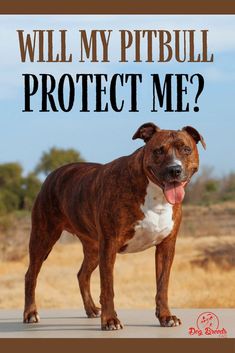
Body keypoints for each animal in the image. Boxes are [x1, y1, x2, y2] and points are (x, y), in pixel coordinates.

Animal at [23, 121, 205, 330]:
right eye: (159, 150)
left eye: (186, 149)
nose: (174, 170)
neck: (155, 195)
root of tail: (53, 174)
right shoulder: (110, 245)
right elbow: (108, 287)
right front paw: (110, 319)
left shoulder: (166, 247)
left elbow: (162, 285)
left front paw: (166, 316)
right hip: (43, 238)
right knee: (31, 275)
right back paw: (30, 313)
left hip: (93, 248)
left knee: (82, 275)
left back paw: (91, 309)